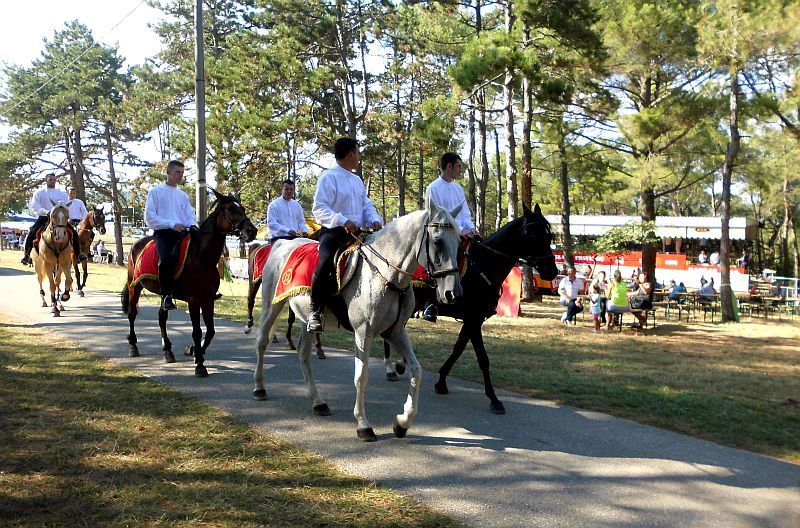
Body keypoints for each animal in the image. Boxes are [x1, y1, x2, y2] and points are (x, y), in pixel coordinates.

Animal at [122, 192, 256, 378]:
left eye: (242, 208)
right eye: (230, 208)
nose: (252, 231)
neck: (201, 257)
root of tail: (136, 245)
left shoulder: (208, 299)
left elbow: (211, 330)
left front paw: (194, 351)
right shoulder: (194, 299)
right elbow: (197, 331)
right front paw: (199, 364)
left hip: (163, 294)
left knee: (161, 317)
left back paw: (167, 350)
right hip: (134, 286)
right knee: (132, 314)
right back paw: (133, 346)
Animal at [253, 200, 466, 444]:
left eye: (459, 241)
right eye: (438, 241)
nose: (453, 293)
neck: (385, 274)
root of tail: (282, 244)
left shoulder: (395, 332)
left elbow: (416, 370)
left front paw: (402, 422)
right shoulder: (363, 333)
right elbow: (361, 377)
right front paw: (364, 425)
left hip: (307, 317)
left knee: (303, 353)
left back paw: (318, 401)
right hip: (272, 305)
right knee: (262, 342)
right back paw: (259, 388)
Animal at [384, 202, 560, 412]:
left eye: (550, 236)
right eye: (533, 235)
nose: (552, 271)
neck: (484, 265)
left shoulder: (473, 320)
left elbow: (458, 349)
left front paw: (441, 381)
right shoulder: (473, 319)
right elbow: (482, 358)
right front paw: (494, 399)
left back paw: (400, 364)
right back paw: (391, 370)